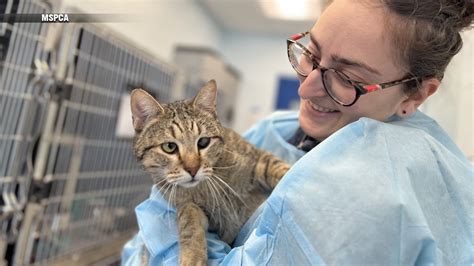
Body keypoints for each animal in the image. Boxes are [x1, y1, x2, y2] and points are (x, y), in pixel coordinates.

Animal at [131, 80, 290, 264]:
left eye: (203, 142)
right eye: (169, 147)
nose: (192, 169)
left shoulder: (258, 157)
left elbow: (277, 168)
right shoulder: (191, 207)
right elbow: (189, 218)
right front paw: (192, 257)